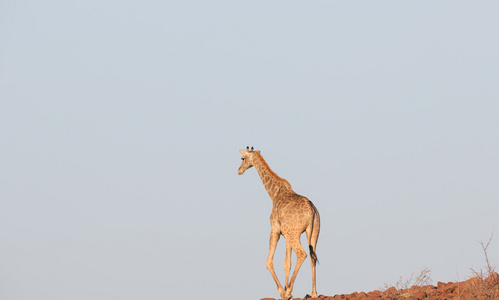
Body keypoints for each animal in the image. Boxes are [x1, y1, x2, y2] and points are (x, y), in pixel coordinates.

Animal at [238, 146, 320, 298]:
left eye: (242, 158)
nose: (239, 170)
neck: (274, 193)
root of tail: (311, 211)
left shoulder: (275, 229)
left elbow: (268, 261)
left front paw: (283, 291)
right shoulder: (285, 234)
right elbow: (286, 262)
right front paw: (286, 288)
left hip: (295, 234)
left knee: (302, 254)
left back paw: (288, 291)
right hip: (313, 233)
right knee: (313, 257)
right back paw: (313, 293)